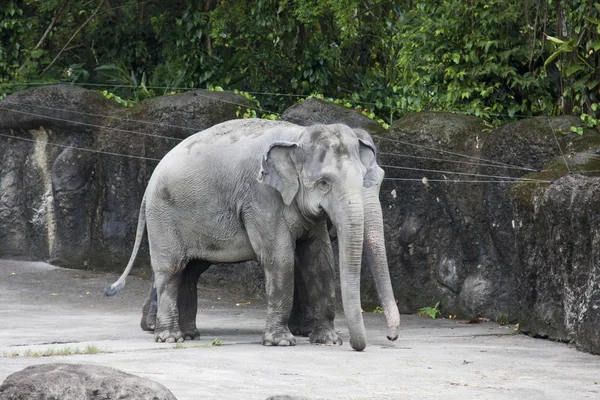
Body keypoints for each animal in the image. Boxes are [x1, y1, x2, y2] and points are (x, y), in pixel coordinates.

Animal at [105, 118, 400, 350]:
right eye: (324, 183)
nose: (391, 337)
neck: (299, 135)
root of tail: (149, 183)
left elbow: (320, 260)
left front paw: (328, 340)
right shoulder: (261, 197)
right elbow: (279, 258)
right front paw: (282, 342)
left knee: (191, 270)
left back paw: (189, 334)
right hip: (164, 215)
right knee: (172, 269)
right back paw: (169, 337)